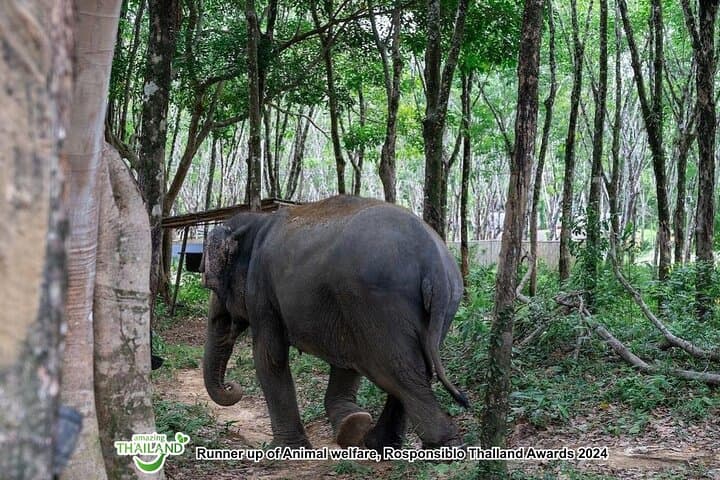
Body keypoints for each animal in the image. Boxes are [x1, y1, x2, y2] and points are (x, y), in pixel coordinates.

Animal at [200, 195, 468, 450]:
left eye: (210, 284)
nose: (232, 386)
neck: (257, 222)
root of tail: (434, 264)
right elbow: (346, 358)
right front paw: (353, 424)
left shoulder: (261, 292)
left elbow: (269, 358)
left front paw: (284, 449)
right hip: (440, 305)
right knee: (417, 367)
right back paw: (381, 443)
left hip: (377, 300)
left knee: (399, 371)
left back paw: (440, 445)